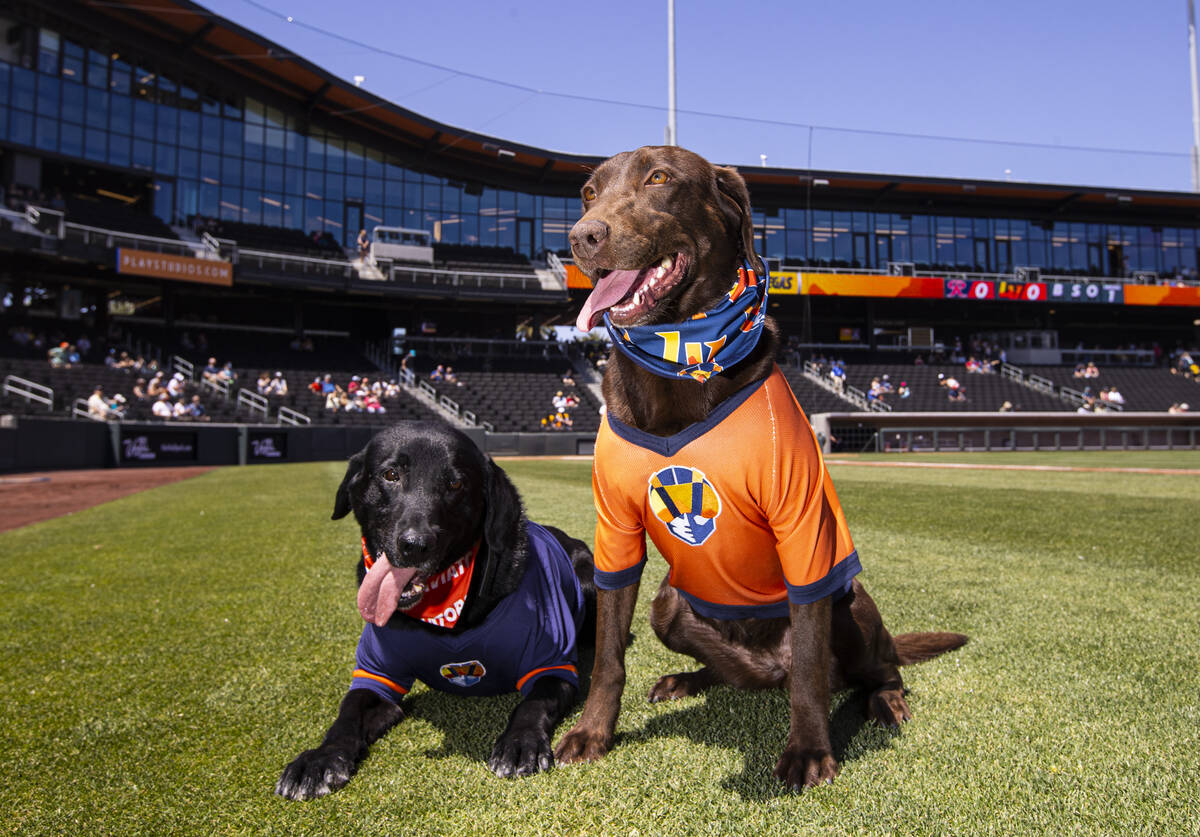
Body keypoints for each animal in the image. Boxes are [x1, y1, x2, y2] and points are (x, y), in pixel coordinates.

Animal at [280, 419, 600, 801]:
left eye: (455, 483)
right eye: (391, 474)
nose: (415, 545)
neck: (446, 615)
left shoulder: (551, 663)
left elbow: (532, 703)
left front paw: (520, 742)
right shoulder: (376, 674)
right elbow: (347, 713)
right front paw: (320, 759)